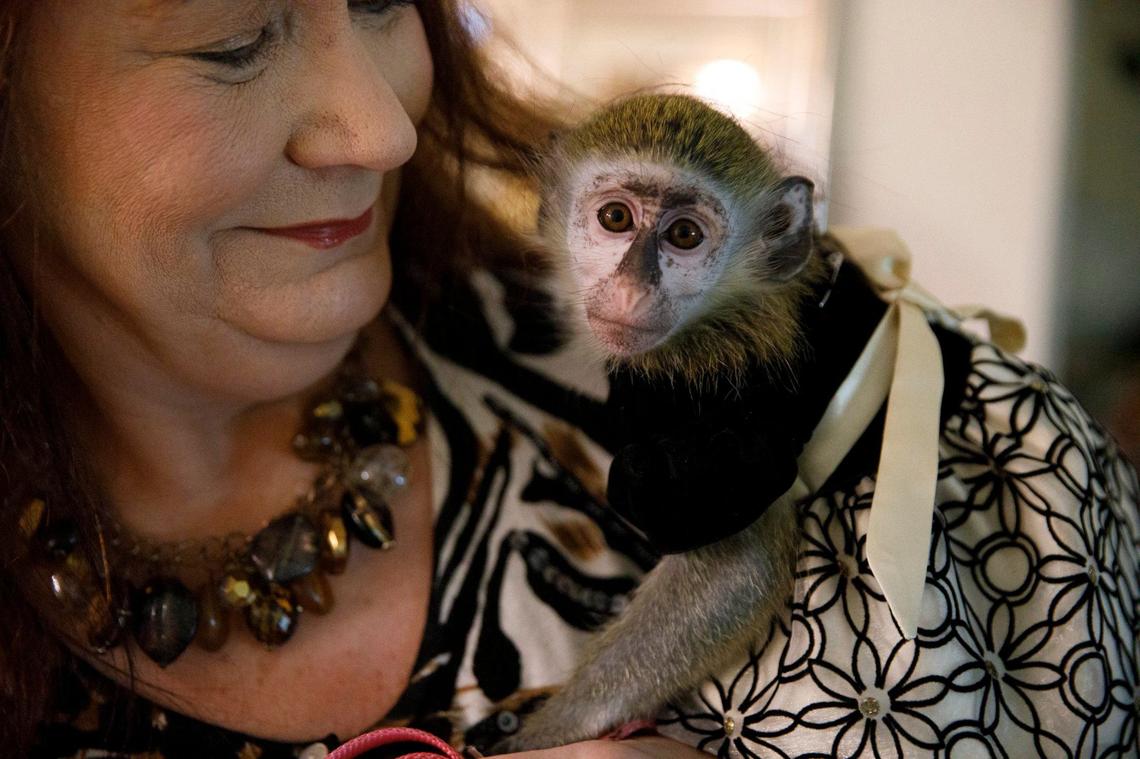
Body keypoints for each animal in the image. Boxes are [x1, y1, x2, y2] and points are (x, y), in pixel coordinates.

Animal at [492, 93, 835, 752]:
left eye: (683, 235)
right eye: (616, 218)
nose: (631, 286)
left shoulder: (725, 405)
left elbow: (737, 573)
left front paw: (536, 738)